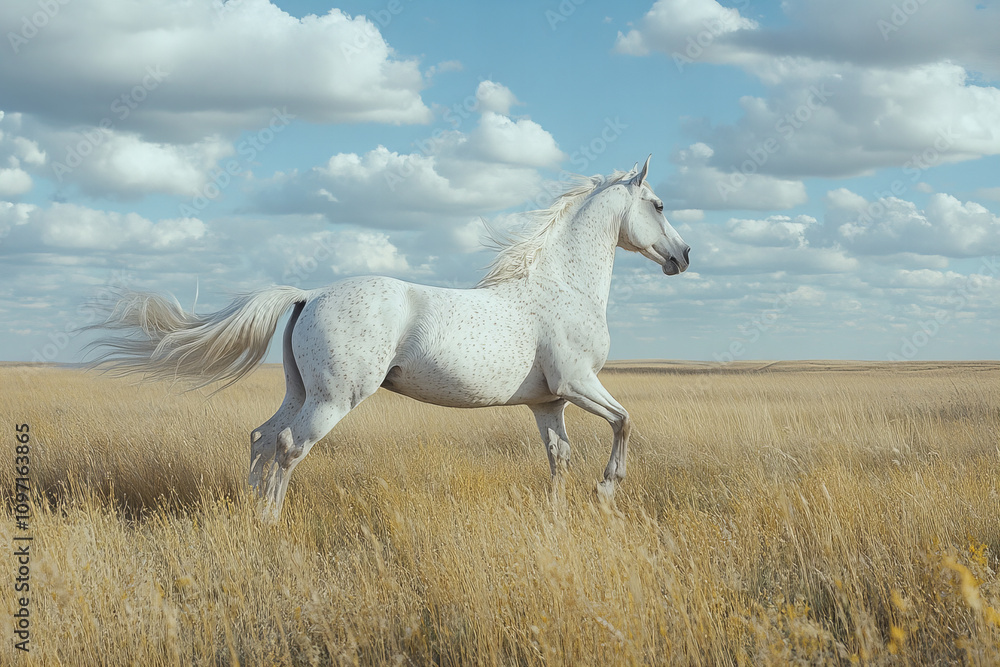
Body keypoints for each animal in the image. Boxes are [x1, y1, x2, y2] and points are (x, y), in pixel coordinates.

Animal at [89, 156, 690, 521]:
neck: (563, 286)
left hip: (300, 391)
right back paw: (270, 521)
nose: (683, 257)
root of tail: (310, 294)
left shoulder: (548, 402)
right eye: (659, 205)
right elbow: (624, 422)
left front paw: (559, 516)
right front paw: (608, 490)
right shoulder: (578, 384)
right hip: (335, 398)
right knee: (289, 446)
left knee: (261, 438)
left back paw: (249, 511)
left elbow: (559, 459)